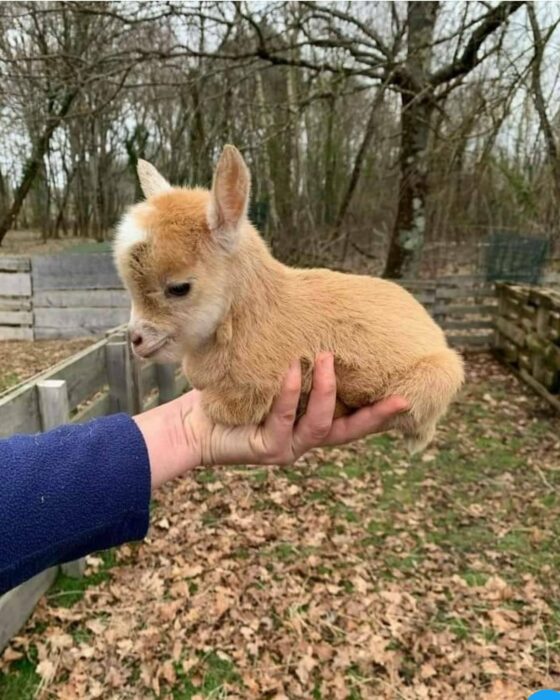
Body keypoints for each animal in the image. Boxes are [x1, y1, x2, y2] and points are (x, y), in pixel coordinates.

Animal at [115, 145, 464, 452]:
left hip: (437, 376)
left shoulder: (255, 388)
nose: (136, 340)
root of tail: (433, 329)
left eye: (179, 288)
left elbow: (222, 407)